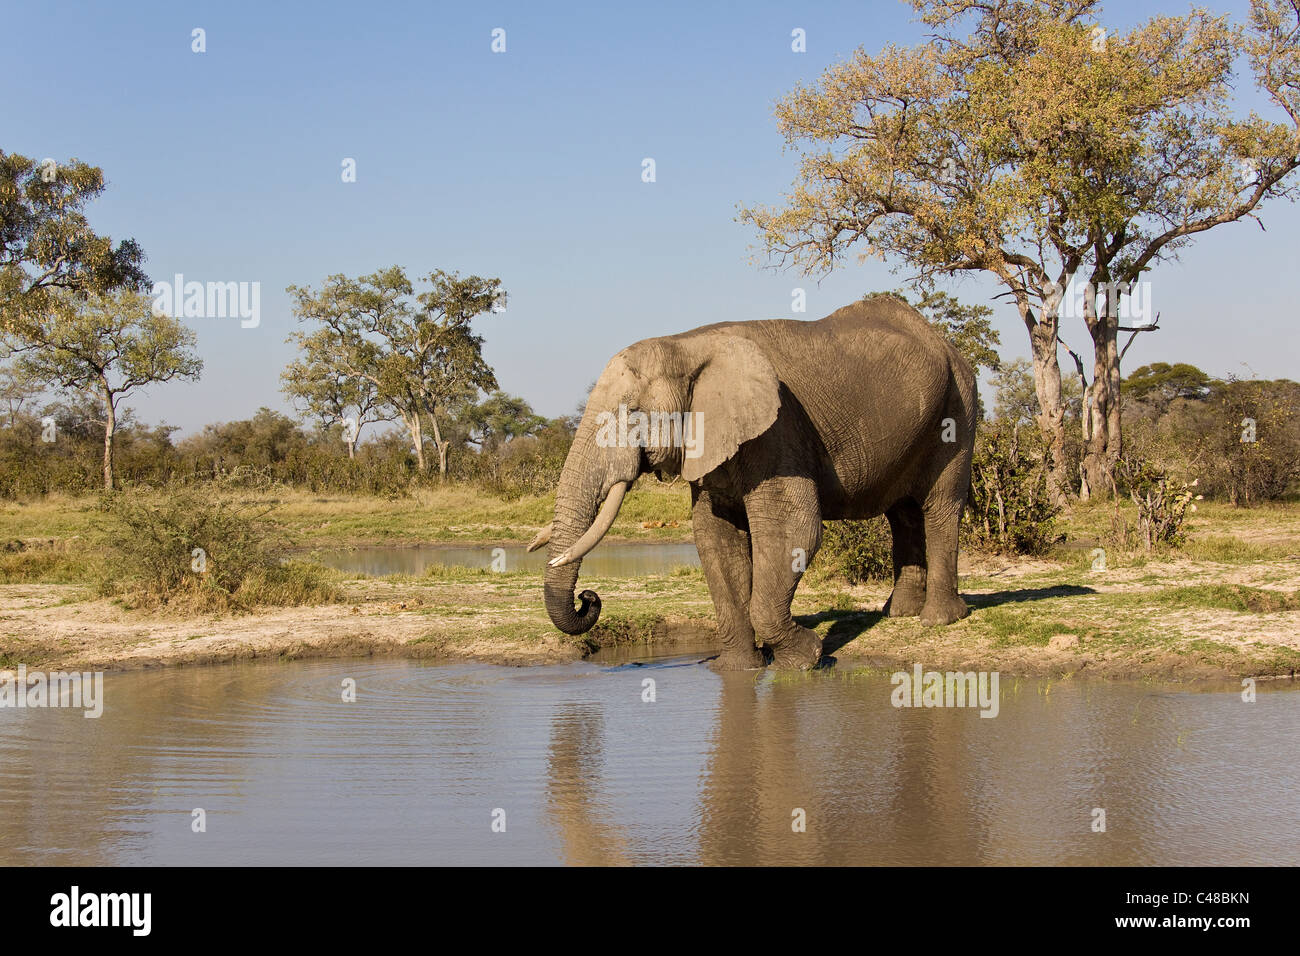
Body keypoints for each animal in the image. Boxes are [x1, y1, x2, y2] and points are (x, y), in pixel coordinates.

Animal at [527, 295, 977, 671]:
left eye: (633, 413)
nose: (588, 597)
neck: (687, 344)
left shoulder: (778, 428)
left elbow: (791, 531)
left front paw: (807, 658)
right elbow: (716, 539)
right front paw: (738, 669)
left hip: (958, 407)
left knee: (939, 507)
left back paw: (938, 620)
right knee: (902, 513)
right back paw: (898, 613)